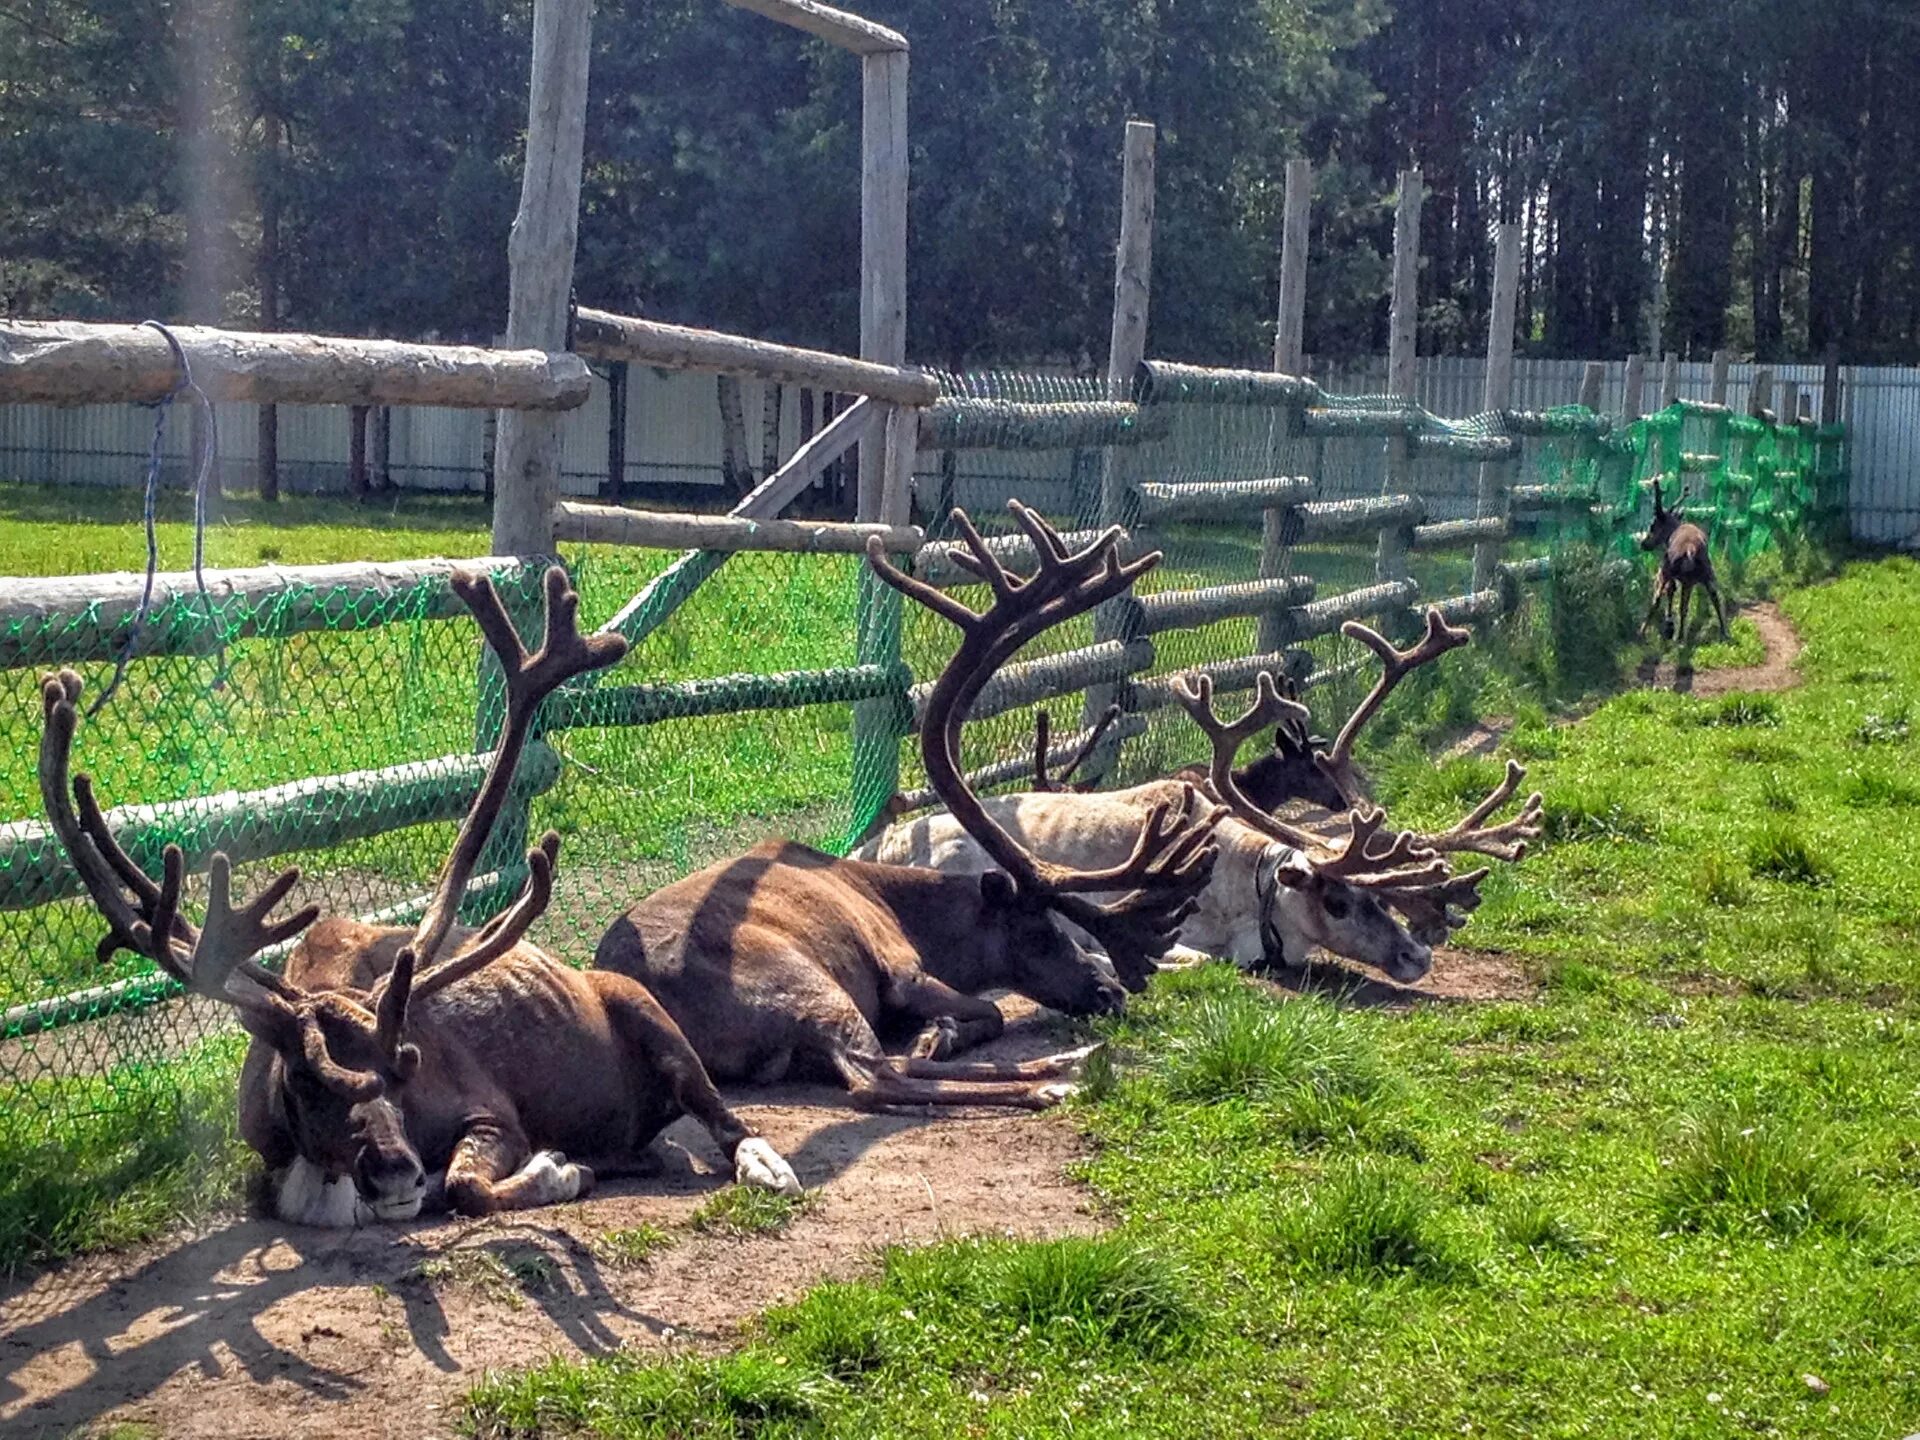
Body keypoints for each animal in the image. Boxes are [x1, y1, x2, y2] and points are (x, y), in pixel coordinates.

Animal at [39, 568, 802, 1228]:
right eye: (306, 1082)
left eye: (401, 1071)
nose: (396, 1172)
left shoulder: (492, 1112)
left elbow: (468, 1186)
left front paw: (556, 1168)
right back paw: (640, 1153)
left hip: (649, 1014)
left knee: (717, 1108)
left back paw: (762, 1164)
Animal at [591, 503, 1213, 1113]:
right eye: (1040, 931)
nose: (1112, 991)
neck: (914, 915)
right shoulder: (903, 969)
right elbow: (987, 1010)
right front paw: (944, 1032)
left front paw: (942, 1033)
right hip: (810, 985)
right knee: (878, 1077)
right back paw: (1053, 1077)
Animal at [1635, 480, 1743, 641]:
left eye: (1652, 525)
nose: (1643, 544)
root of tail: (1690, 550)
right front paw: (1669, 626)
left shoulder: (1667, 571)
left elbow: (1669, 591)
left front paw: (1669, 626)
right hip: (1707, 573)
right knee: (1715, 597)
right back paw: (1724, 632)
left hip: (1674, 573)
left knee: (1662, 600)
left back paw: (1657, 633)